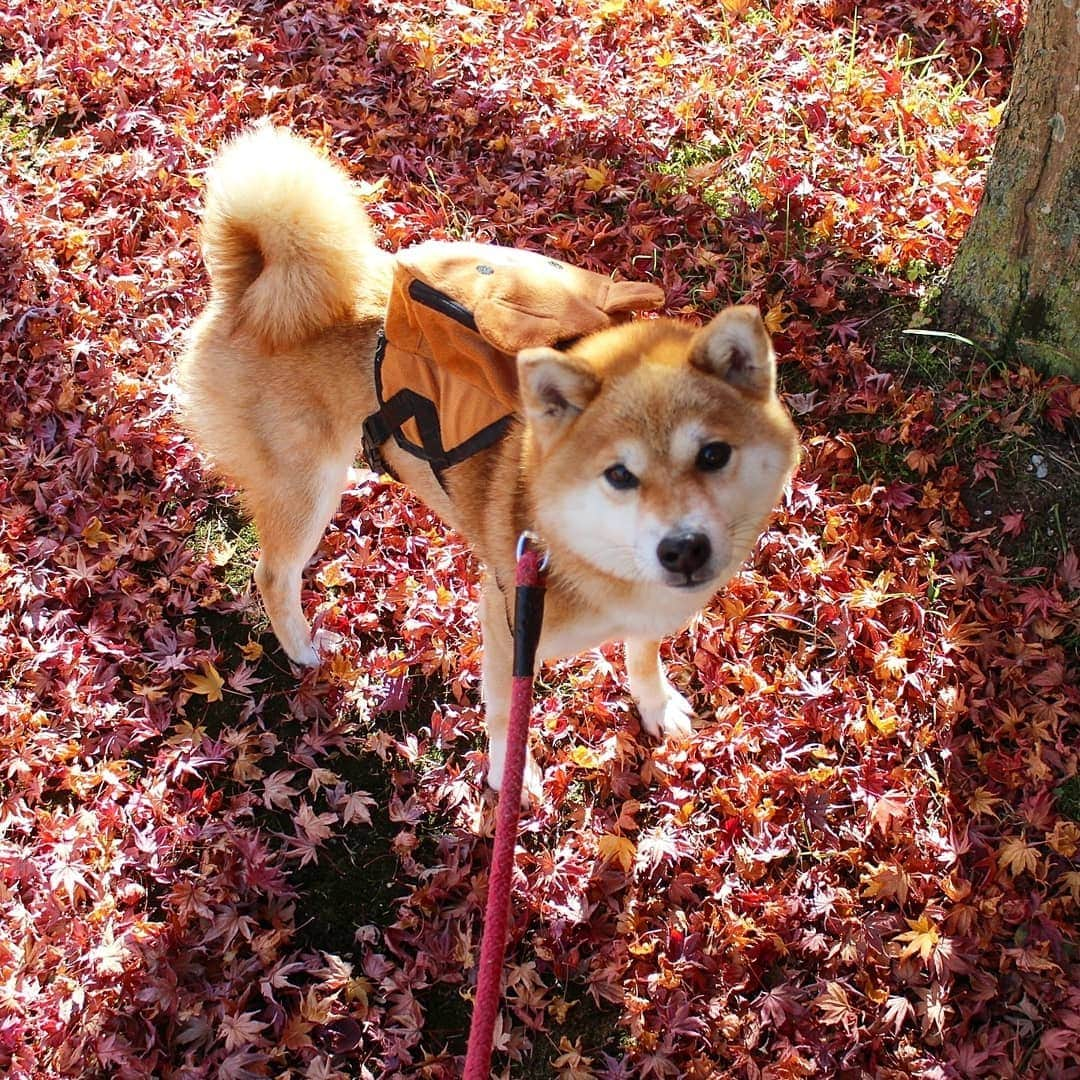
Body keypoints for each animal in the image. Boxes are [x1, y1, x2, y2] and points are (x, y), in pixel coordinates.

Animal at [177, 128, 799, 803]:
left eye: (713, 455)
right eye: (619, 475)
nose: (683, 548)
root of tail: (253, 283)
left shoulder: (644, 616)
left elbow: (642, 656)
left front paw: (655, 705)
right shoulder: (505, 627)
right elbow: (505, 714)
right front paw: (510, 773)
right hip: (304, 490)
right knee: (273, 575)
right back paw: (303, 651)